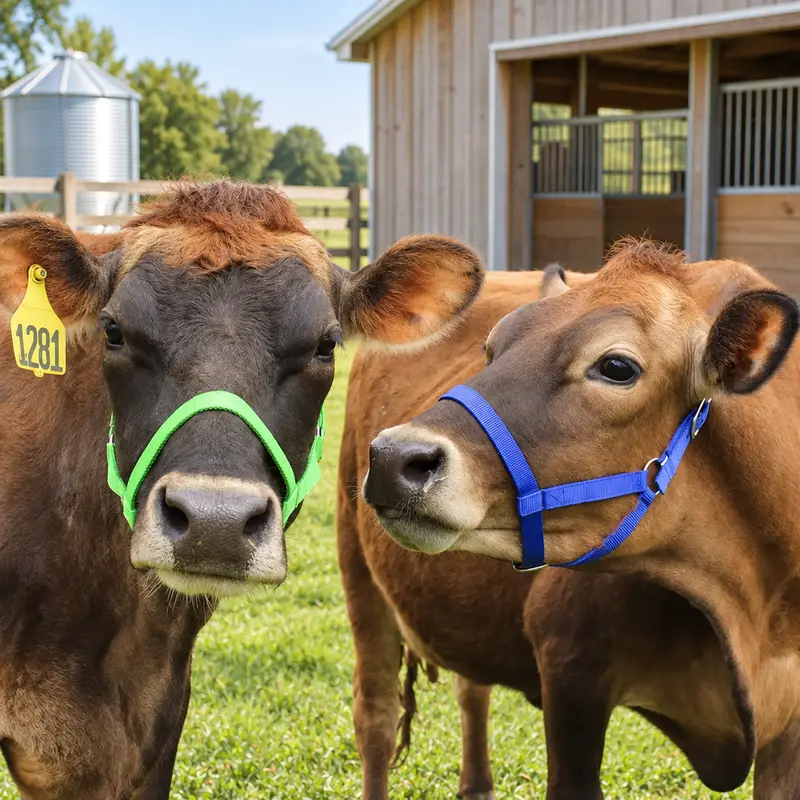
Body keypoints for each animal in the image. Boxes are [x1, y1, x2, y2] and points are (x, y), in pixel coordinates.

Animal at [351, 243, 800, 799]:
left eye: (617, 366)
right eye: (491, 348)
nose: (394, 456)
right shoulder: (570, 668)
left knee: (471, 688)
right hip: (358, 567)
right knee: (375, 717)